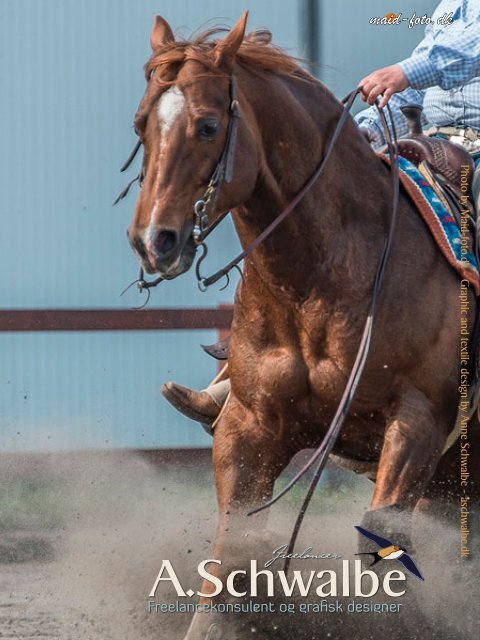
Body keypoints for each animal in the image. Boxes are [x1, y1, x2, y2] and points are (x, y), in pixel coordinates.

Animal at [125, 12, 478, 636]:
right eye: (141, 124)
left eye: (208, 126)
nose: (153, 241)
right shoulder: (250, 424)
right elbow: (233, 552)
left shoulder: (419, 422)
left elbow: (382, 540)